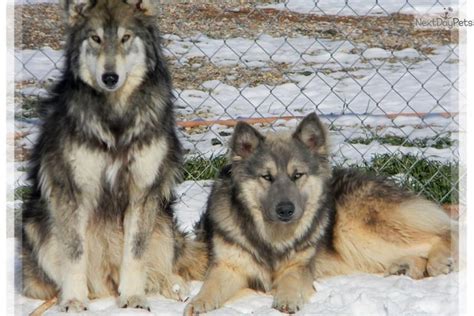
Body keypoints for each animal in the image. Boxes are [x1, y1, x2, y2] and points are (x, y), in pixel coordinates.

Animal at [21, 0, 207, 312]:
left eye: (125, 38)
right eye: (95, 38)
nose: (110, 77)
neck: (116, 116)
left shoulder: (142, 192)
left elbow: (135, 253)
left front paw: (132, 298)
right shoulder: (71, 191)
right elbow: (75, 254)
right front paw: (73, 300)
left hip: (162, 223)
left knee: (166, 267)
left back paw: (174, 288)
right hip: (36, 226)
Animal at [185, 113, 460, 314]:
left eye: (297, 175)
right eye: (267, 177)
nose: (286, 210)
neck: (272, 237)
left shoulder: (299, 266)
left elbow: (291, 281)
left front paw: (286, 299)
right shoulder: (228, 266)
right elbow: (211, 285)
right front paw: (198, 302)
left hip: (357, 230)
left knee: (446, 232)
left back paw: (438, 262)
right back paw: (406, 267)